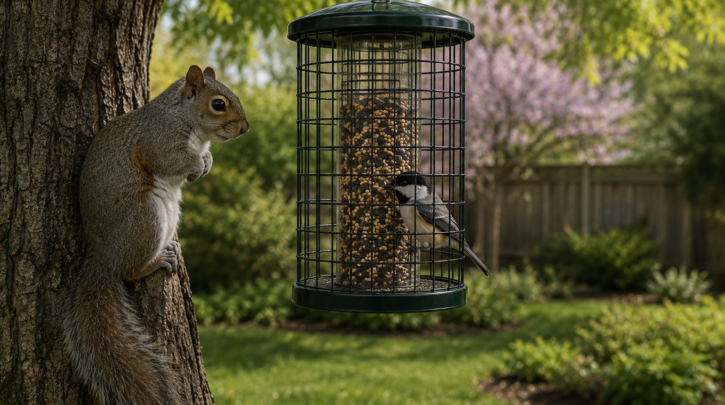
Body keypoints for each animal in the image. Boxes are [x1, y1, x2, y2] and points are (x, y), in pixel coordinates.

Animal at [62, 65, 249, 405]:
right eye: (218, 104)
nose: (245, 128)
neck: (182, 117)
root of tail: (102, 258)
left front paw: (207, 163)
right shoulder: (157, 141)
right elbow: (170, 160)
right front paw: (197, 164)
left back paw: (171, 250)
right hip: (145, 218)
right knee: (131, 270)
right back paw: (157, 261)